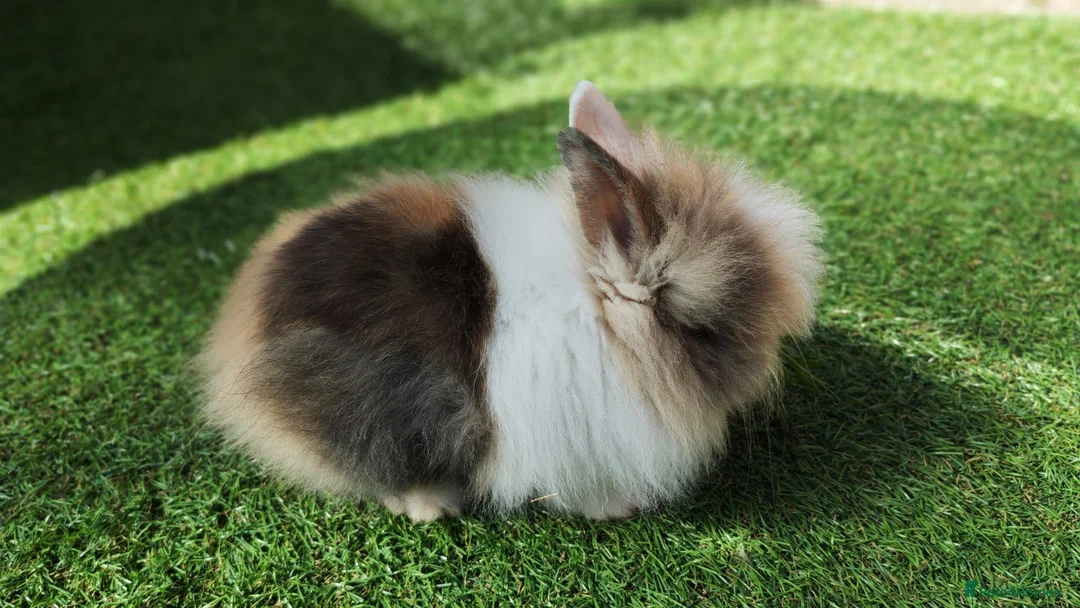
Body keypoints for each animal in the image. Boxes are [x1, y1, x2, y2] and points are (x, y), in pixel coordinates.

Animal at [196, 81, 824, 522]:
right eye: (707, 328)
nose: (767, 364)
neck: (597, 313)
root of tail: (241, 323)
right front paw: (620, 508)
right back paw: (432, 506)